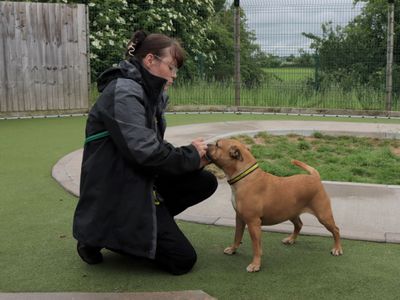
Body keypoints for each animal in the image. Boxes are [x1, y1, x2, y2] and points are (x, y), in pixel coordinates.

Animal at [206, 138, 344, 272]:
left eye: (217, 145)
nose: (207, 145)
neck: (245, 176)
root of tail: (315, 177)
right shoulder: (240, 218)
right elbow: (237, 236)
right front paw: (233, 249)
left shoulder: (253, 223)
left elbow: (256, 246)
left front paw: (255, 264)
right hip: (291, 212)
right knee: (299, 225)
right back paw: (291, 239)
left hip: (323, 215)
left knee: (336, 230)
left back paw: (337, 248)